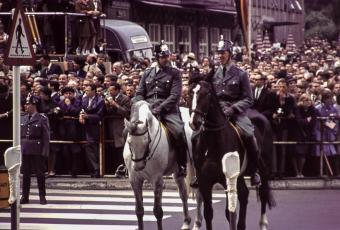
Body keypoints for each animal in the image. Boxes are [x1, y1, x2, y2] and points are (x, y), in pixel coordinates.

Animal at [123, 101, 199, 230]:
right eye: (129, 142)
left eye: (147, 141)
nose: (138, 166)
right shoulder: (135, 180)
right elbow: (139, 211)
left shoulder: (157, 180)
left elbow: (158, 211)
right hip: (177, 172)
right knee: (183, 194)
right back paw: (186, 222)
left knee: (199, 194)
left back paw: (197, 224)